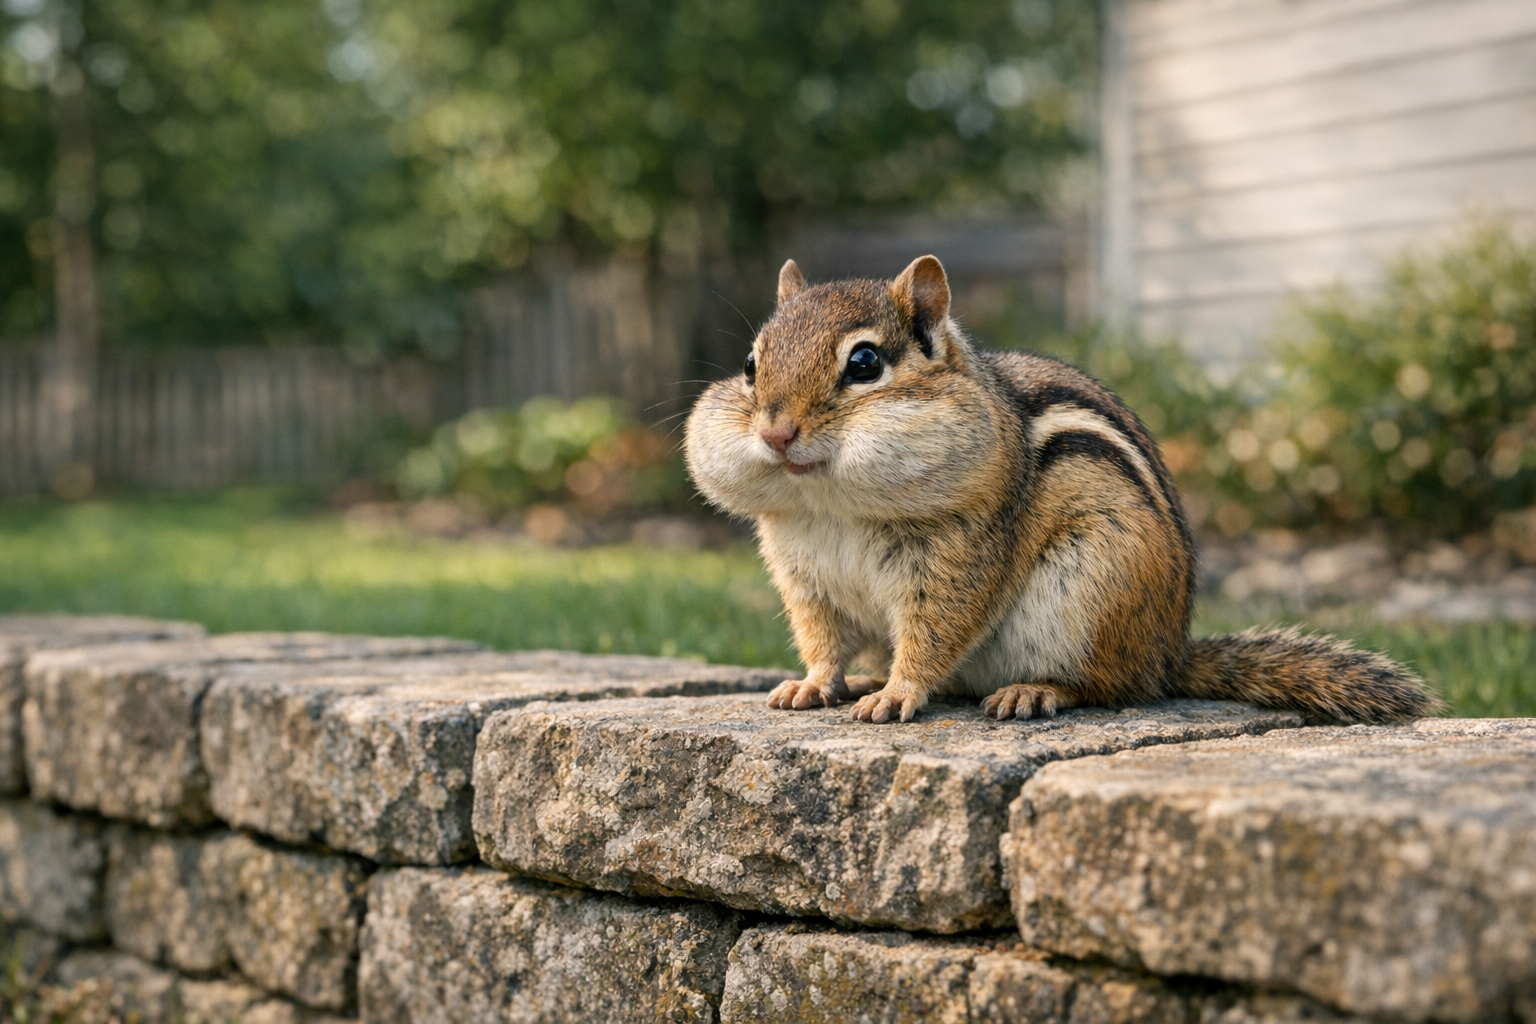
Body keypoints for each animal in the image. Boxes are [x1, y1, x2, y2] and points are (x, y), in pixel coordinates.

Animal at [684, 254, 1443, 725]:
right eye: (750, 364)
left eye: (865, 363)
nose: (776, 432)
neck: (833, 504)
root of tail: (1167, 654)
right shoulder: (804, 576)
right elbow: (820, 639)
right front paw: (816, 683)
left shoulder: (959, 556)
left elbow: (936, 631)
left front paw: (898, 692)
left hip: (1092, 589)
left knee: (1107, 689)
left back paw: (1032, 691)